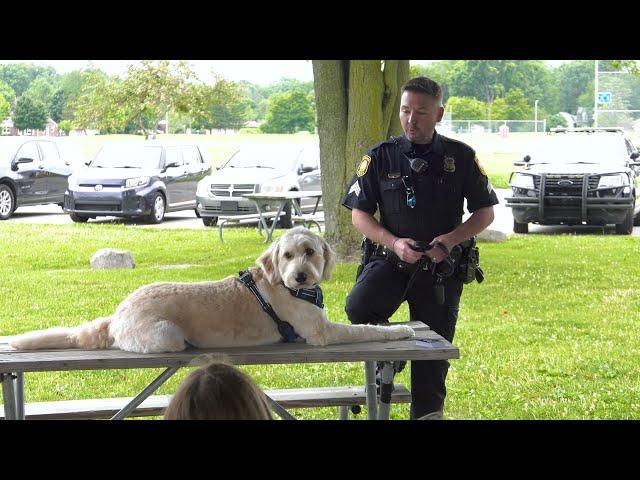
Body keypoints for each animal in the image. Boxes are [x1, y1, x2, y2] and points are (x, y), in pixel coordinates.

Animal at [10, 225, 416, 352]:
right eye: (286, 255)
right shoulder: (323, 332)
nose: (300, 276)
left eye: (310, 252)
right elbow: (367, 329)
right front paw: (401, 330)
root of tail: (117, 315)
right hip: (166, 334)